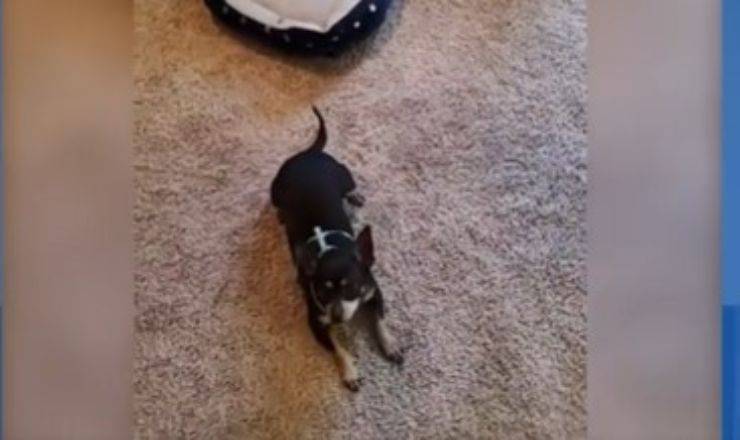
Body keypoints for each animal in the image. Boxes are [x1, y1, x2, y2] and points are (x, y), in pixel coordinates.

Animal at [270, 107, 403, 391]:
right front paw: (350, 371)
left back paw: (354, 196)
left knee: (350, 186)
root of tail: (307, 154)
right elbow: (336, 347)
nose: (338, 317)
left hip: (345, 174)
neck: (327, 248)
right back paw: (281, 214)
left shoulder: (373, 291)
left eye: (351, 288)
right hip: (274, 190)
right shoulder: (316, 322)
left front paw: (389, 344)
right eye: (322, 292)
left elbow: (380, 320)